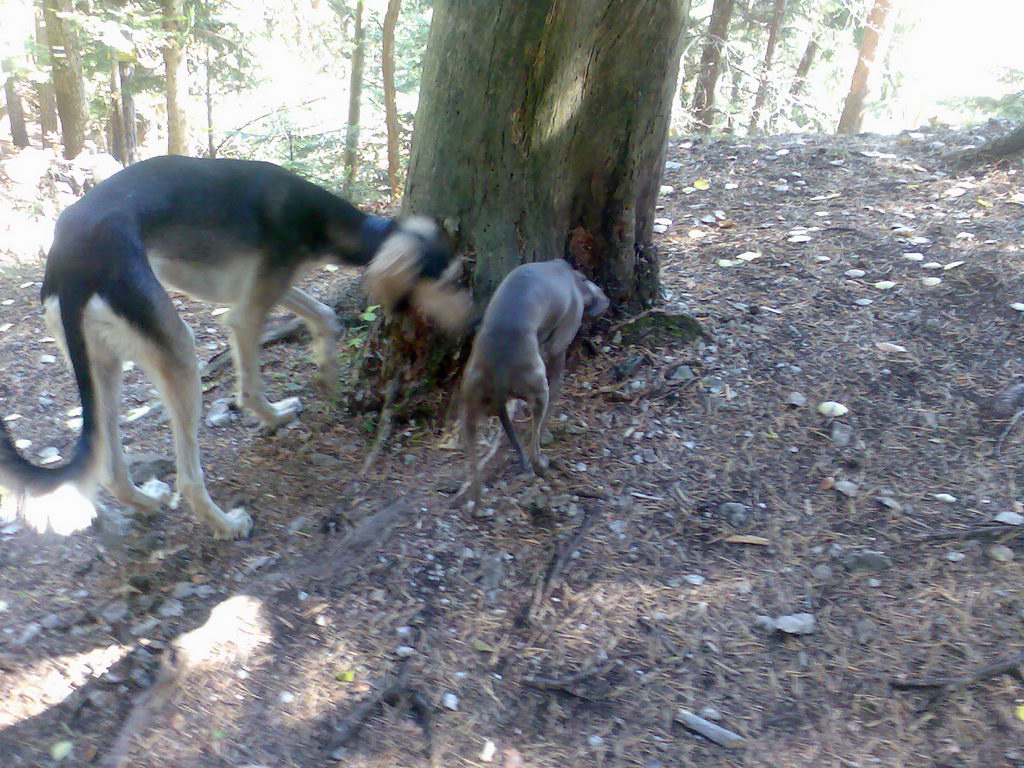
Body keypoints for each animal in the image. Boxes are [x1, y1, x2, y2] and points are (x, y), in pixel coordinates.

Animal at [0, 154, 468, 540]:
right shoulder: (248, 309)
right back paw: (226, 525)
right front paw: (273, 414)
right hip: (177, 352)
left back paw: (148, 502)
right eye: (449, 282)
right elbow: (251, 385)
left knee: (112, 469)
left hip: (103, 363)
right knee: (189, 477)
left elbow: (325, 316)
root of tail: (71, 259)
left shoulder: (262, 286)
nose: (472, 320)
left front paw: (326, 372)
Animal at [462, 260, 606, 512]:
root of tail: (498, 367)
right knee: (533, 446)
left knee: (476, 466)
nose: (606, 299)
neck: (571, 278)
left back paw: (479, 505)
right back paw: (542, 466)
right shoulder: (558, 347)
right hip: (539, 390)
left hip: (471, 405)